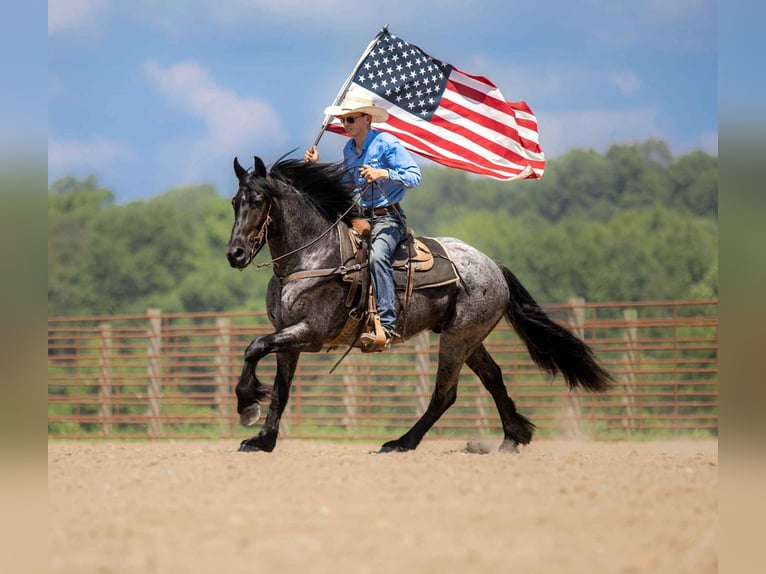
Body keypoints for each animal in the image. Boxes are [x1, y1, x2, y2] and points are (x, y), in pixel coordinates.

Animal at [225, 155, 613, 453]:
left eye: (258, 200)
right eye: (234, 202)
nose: (235, 254)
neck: (313, 257)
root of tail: (493, 266)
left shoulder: (313, 333)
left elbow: (253, 347)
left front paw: (247, 404)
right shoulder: (287, 334)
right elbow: (280, 388)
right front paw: (263, 439)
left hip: (457, 338)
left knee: (446, 393)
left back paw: (402, 442)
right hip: (469, 337)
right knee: (493, 378)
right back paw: (512, 438)